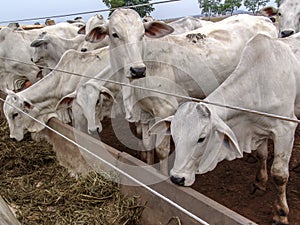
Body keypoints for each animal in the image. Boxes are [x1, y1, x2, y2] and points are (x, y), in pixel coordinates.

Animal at [84, 8, 276, 174]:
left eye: (142, 34)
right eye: (115, 34)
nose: (137, 70)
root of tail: (264, 20)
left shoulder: (164, 110)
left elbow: (161, 150)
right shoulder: (145, 113)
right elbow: (147, 144)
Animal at [150, 33, 300, 225]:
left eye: (201, 138)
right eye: (174, 137)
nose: (177, 178)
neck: (259, 83)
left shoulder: (285, 129)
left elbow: (280, 175)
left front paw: (281, 214)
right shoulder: (260, 128)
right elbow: (262, 155)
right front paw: (260, 182)